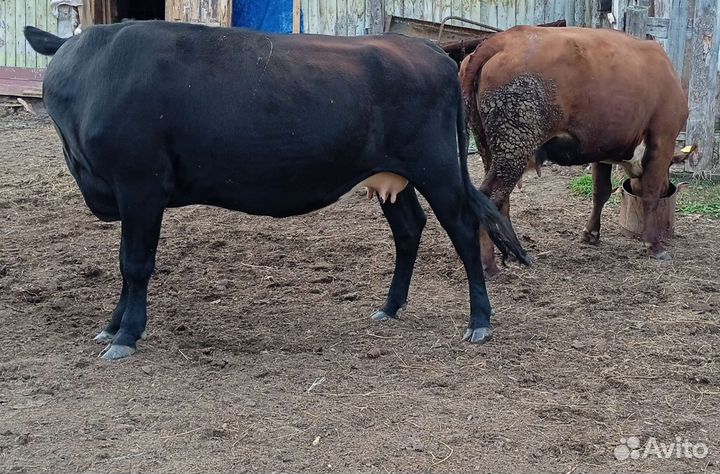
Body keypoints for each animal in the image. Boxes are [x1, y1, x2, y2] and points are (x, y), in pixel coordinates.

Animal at [24, 21, 530, 360]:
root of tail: (427, 46)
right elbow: (124, 265)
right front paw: (111, 327)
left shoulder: (140, 186)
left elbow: (134, 264)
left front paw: (127, 334)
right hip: (391, 175)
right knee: (409, 229)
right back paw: (389, 308)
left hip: (438, 168)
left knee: (462, 231)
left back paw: (480, 321)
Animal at [459, 26, 689, 277]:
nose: (668, 187)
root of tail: (501, 40)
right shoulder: (662, 138)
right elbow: (651, 193)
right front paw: (654, 245)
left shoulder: (601, 149)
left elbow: (601, 192)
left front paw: (591, 234)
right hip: (514, 147)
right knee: (489, 198)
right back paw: (489, 264)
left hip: (493, 150)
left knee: (500, 203)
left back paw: (514, 252)